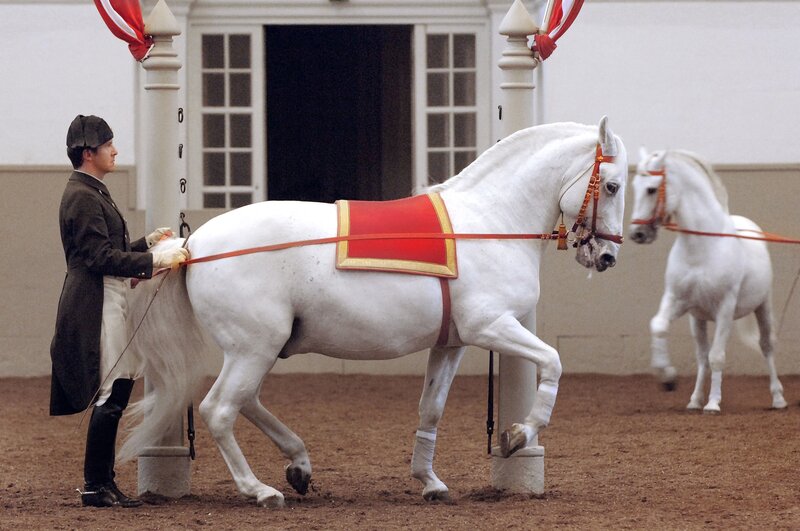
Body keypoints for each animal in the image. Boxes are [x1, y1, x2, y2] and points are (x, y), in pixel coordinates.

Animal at [120, 118, 628, 507]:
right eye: (613, 185)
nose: (607, 257)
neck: (488, 224)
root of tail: (194, 244)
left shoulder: (452, 343)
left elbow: (431, 408)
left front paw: (430, 481)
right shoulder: (491, 326)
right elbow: (553, 362)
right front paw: (520, 435)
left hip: (258, 347)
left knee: (245, 401)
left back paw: (299, 465)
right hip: (254, 346)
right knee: (221, 408)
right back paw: (260, 490)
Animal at [628, 147, 788, 413]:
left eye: (651, 189)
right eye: (634, 186)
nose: (637, 234)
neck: (701, 248)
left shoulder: (725, 308)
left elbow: (717, 357)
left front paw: (713, 404)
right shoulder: (678, 301)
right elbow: (660, 327)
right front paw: (668, 378)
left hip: (763, 306)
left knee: (767, 346)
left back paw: (778, 399)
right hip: (698, 320)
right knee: (702, 356)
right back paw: (694, 401)